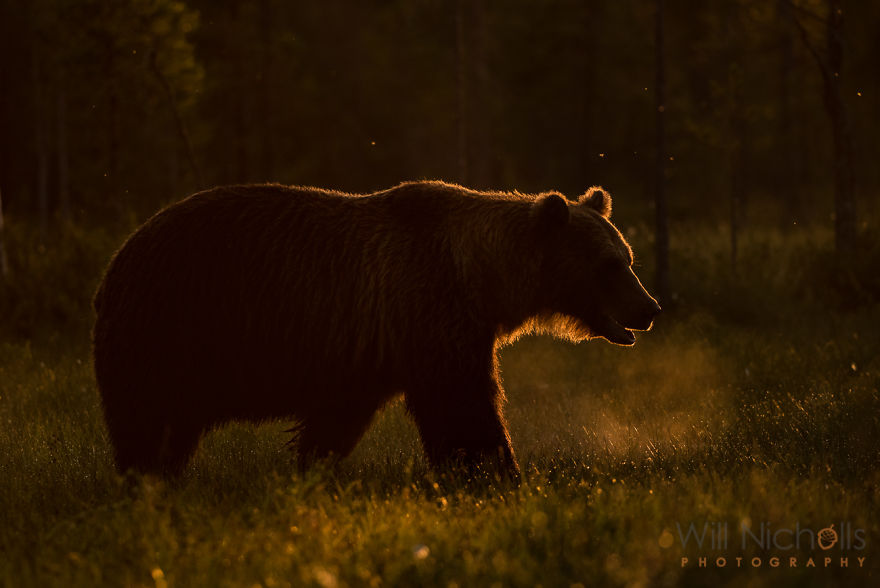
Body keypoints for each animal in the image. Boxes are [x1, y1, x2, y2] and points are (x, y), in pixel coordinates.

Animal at [92, 180, 660, 478]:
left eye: (628, 257)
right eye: (610, 265)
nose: (649, 307)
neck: (484, 278)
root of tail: (119, 255)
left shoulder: (367, 352)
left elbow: (336, 422)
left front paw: (310, 468)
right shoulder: (431, 313)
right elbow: (464, 407)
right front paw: (498, 474)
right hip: (169, 326)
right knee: (146, 418)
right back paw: (143, 478)